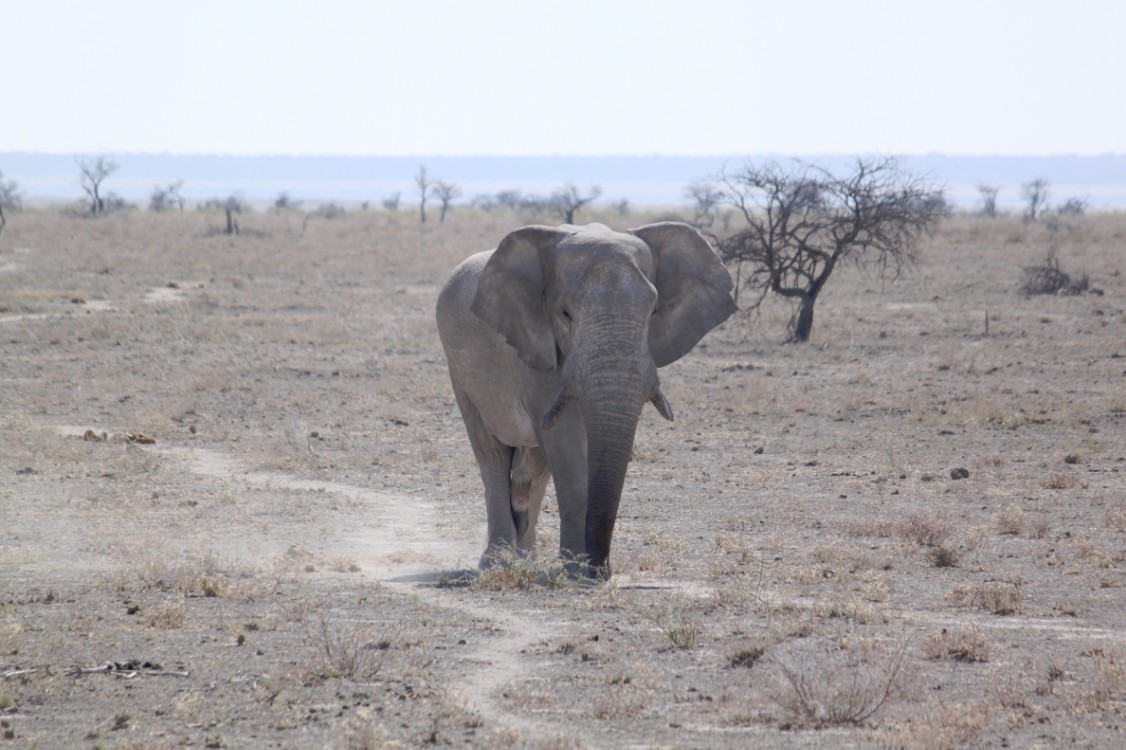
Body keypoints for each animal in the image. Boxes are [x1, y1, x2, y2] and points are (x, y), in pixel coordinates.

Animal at [432, 221, 738, 576]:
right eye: (565, 313)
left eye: (654, 312)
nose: (601, 569)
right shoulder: (533, 345)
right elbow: (566, 445)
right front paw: (579, 571)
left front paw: (580, 568)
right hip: (458, 367)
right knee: (491, 454)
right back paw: (498, 563)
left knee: (535, 467)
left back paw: (525, 557)